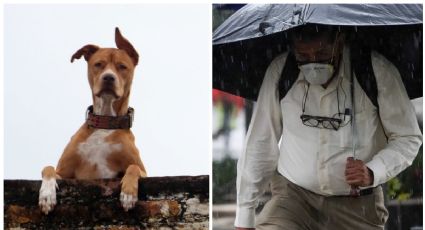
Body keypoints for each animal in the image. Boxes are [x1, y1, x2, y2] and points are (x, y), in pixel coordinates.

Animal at [38, 27, 147, 215]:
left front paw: (128, 193)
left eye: (122, 66)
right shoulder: (65, 173)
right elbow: (48, 168)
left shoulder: (145, 171)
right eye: (98, 64)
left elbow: (133, 167)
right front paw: (47, 194)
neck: (105, 121)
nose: (109, 77)